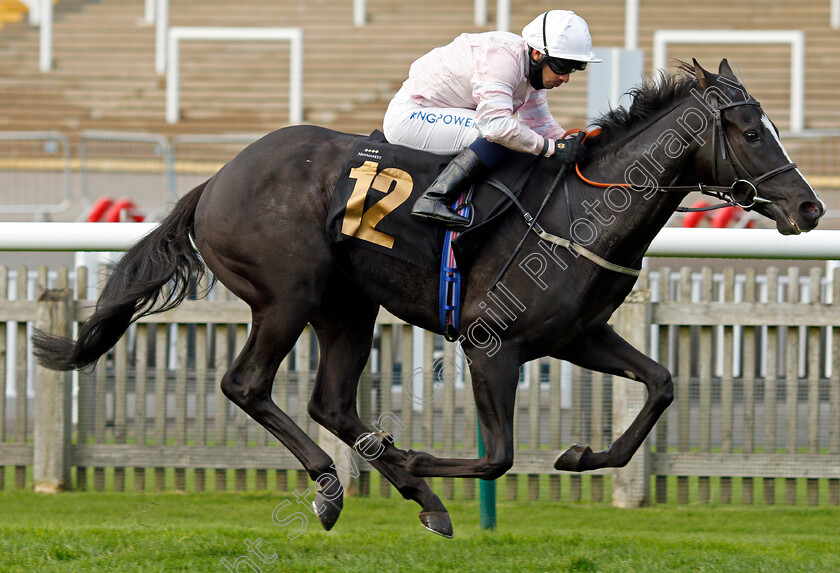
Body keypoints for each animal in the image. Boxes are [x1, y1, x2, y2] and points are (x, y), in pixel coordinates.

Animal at [32, 60, 820, 540]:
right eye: (752, 131)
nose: (809, 208)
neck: (581, 211)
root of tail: (216, 179)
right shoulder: (491, 343)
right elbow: (497, 457)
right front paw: (419, 459)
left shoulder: (578, 335)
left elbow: (660, 384)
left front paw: (579, 455)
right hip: (289, 295)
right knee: (247, 384)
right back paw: (341, 487)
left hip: (347, 307)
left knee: (331, 403)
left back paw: (411, 497)